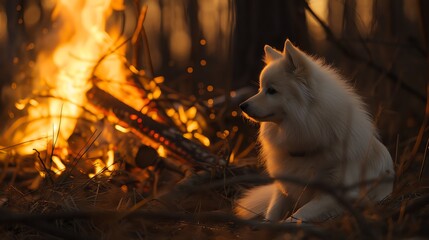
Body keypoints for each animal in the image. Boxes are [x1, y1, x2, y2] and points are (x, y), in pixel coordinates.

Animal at [236, 39, 392, 221]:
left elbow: (298, 215)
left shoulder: (337, 195)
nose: (242, 106)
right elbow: (272, 212)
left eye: (272, 91)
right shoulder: (284, 188)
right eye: (261, 89)